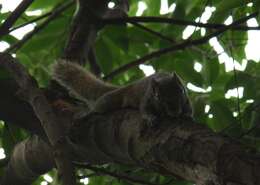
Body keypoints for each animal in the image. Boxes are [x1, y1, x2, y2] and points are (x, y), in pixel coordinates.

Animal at [51, 60, 192, 125]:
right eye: (158, 96)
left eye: (181, 90)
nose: (175, 112)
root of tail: (125, 87)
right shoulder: (147, 99)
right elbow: (145, 110)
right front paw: (151, 118)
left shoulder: (186, 100)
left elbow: (189, 108)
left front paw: (187, 115)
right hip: (110, 101)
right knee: (98, 106)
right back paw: (87, 113)